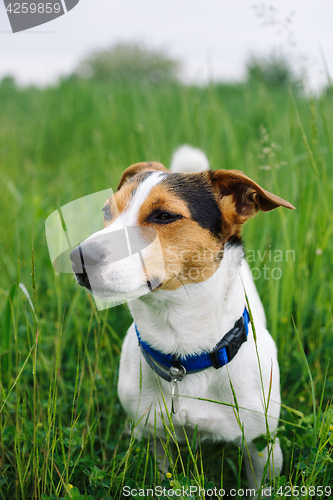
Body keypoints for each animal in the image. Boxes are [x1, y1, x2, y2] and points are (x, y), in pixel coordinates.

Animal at [69, 146, 294, 496]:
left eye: (164, 215)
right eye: (107, 211)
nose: (78, 256)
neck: (183, 354)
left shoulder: (262, 447)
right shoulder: (156, 438)